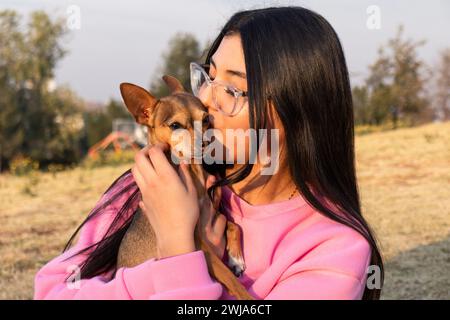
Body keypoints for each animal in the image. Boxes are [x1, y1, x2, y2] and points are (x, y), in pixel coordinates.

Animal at [115, 75, 253, 300]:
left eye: (206, 119)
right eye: (175, 125)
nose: (207, 142)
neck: (195, 174)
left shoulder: (215, 210)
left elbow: (233, 224)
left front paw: (236, 258)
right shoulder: (199, 245)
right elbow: (228, 277)